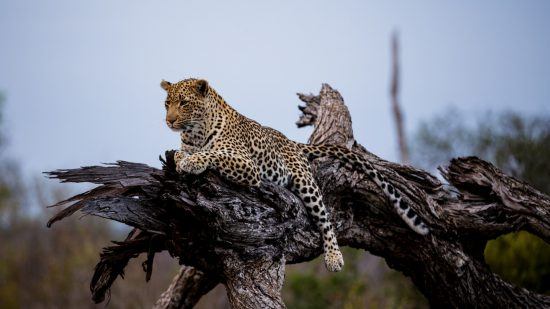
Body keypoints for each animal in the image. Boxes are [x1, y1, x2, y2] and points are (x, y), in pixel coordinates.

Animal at [160, 78, 432, 270]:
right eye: (167, 104)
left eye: (184, 103)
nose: (169, 121)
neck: (194, 133)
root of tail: (291, 142)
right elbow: (180, 153)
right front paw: (182, 159)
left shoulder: (248, 166)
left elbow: (214, 154)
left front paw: (193, 162)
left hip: (306, 183)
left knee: (325, 219)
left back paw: (334, 257)